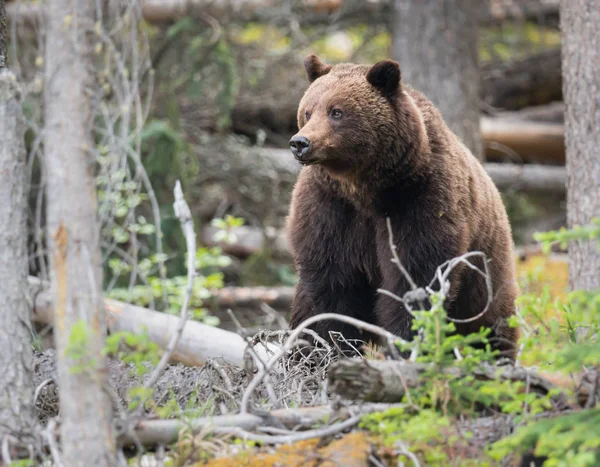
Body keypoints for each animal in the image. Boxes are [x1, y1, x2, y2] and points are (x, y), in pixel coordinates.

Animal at [284, 56, 516, 360]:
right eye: (308, 111)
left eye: (337, 112)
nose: (300, 142)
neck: (365, 189)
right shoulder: (329, 208)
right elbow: (332, 282)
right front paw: (331, 345)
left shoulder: (420, 202)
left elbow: (415, 278)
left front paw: (407, 344)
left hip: (486, 272)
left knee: (490, 325)